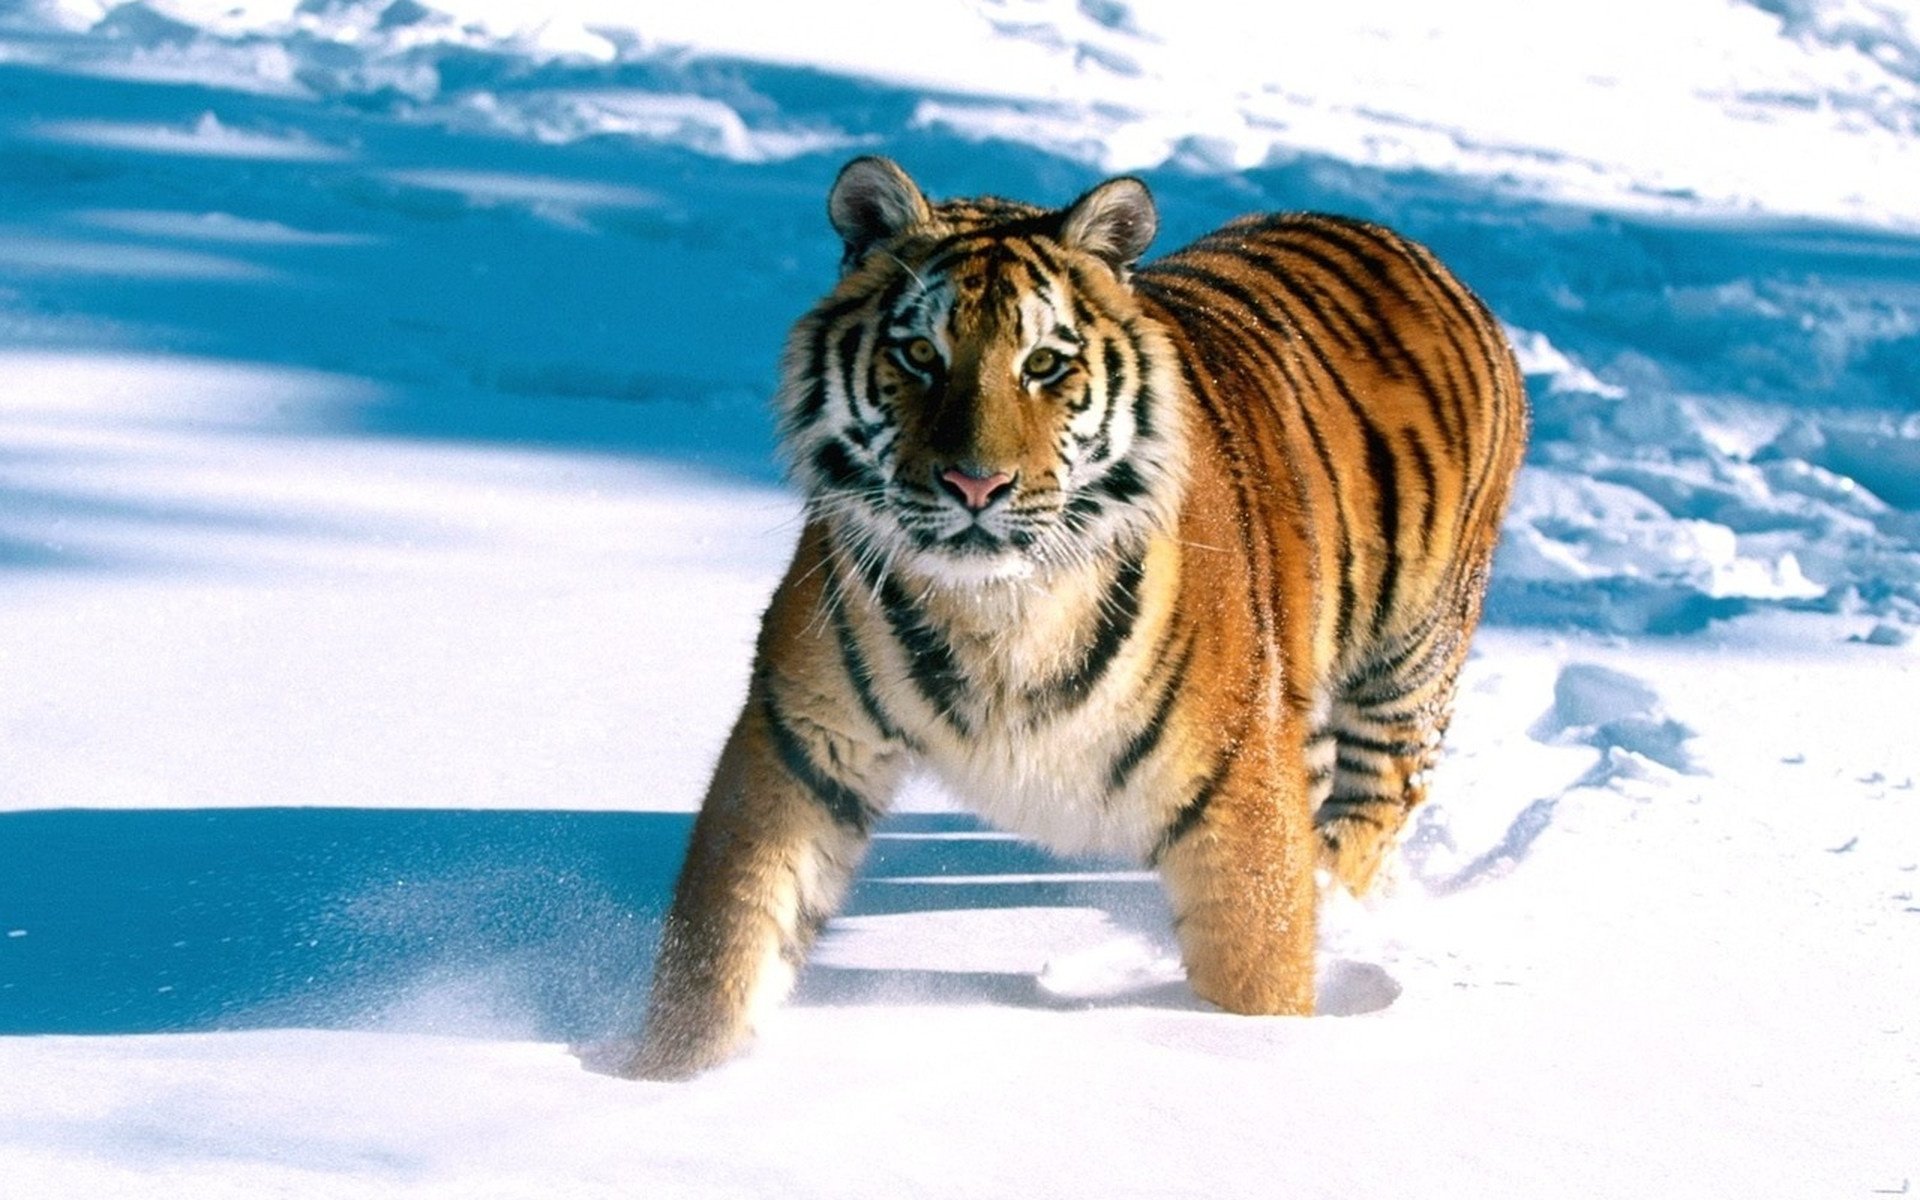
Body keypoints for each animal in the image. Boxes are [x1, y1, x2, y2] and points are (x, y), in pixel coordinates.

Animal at [591, 154, 1520, 1082]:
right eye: (919, 354)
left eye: (1042, 364)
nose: (975, 484)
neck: (995, 609)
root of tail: (1403, 244)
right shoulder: (802, 738)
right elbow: (729, 935)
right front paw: (660, 1075)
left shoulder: (1234, 783)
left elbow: (1257, 961)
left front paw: (1256, 1047)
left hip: (1407, 669)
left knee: (1371, 811)